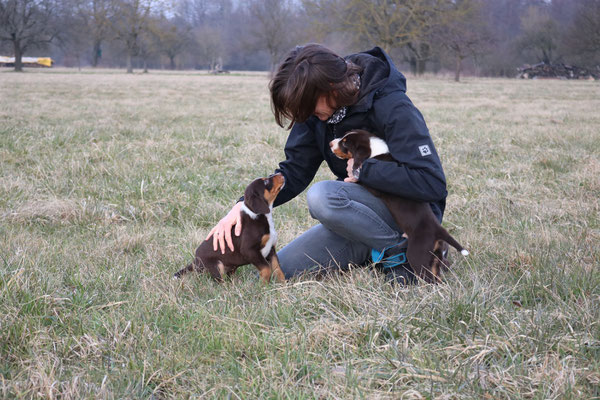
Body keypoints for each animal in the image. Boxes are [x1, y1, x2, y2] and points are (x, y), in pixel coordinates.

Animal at [330, 130, 466, 282]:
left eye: (345, 143)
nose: (330, 143)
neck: (375, 151)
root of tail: (438, 230)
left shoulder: (373, 185)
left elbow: (358, 180)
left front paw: (348, 178)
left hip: (417, 254)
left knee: (429, 278)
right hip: (436, 257)